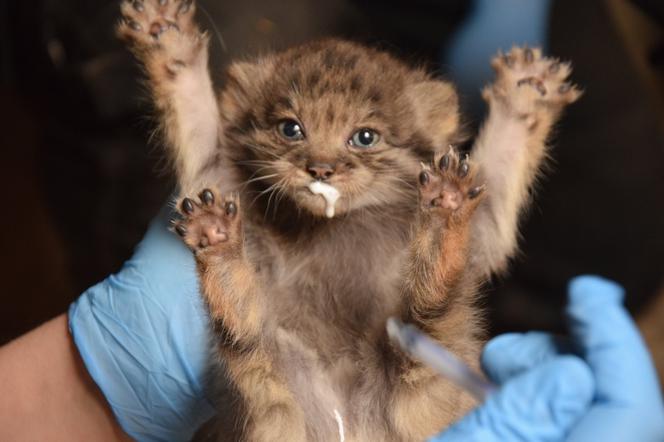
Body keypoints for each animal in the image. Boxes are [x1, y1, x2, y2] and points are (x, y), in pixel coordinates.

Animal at [118, 0, 580, 438]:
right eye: (291, 129)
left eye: (364, 137)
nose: (321, 169)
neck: (332, 222)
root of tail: (354, 425)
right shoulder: (212, 179)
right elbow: (196, 120)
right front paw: (166, 38)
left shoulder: (483, 233)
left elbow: (496, 173)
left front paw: (527, 94)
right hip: (274, 385)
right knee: (246, 333)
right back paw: (216, 241)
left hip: (424, 361)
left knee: (432, 305)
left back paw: (444, 208)